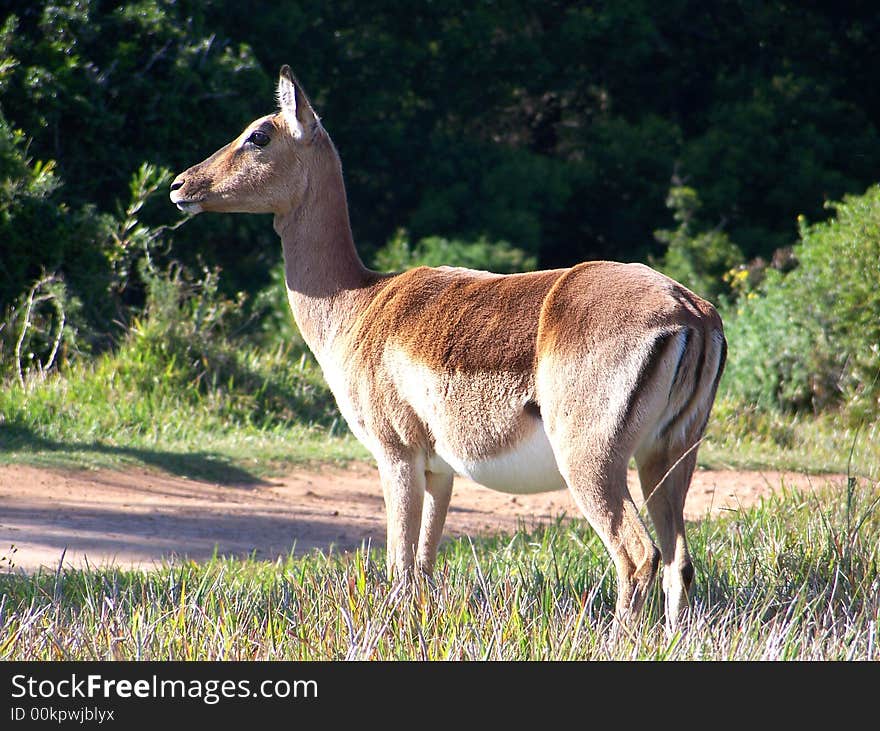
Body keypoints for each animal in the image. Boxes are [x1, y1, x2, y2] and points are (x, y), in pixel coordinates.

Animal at [168, 66, 724, 632]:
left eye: (258, 134)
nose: (180, 185)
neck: (357, 303)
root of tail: (689, 311)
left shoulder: (396, 455)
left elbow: (398, 565)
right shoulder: (440, 472)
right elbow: (424, 567)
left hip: (592, 463)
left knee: (639, 555)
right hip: (667, 458)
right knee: (679, 561)